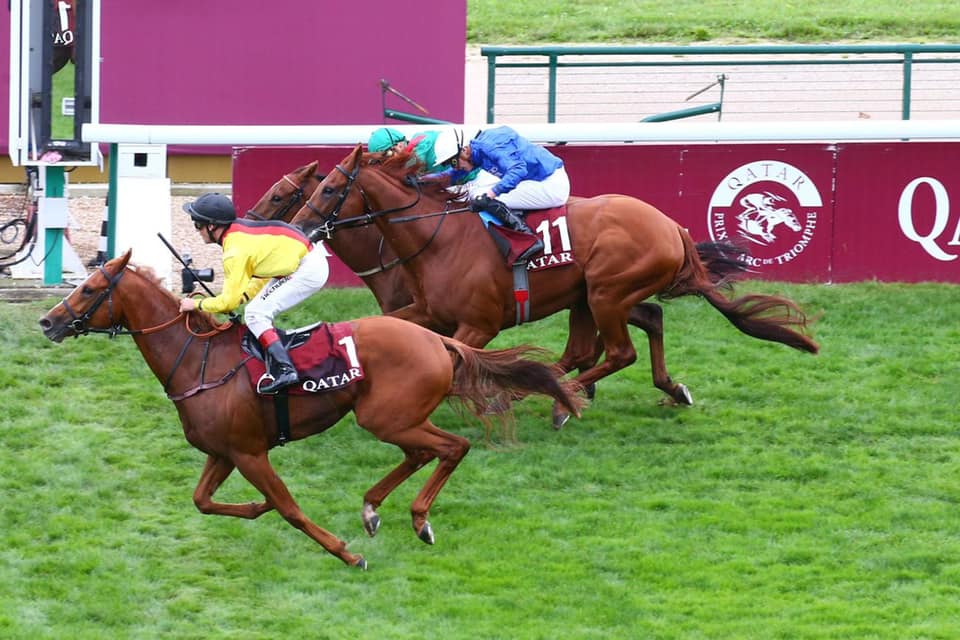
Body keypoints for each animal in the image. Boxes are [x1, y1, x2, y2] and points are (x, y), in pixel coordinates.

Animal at [37, 250, 580, 568]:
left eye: (89, 289)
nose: (47, 321)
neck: (197, 360)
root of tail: (438, 340)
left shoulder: (250, 453)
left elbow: (290, 508)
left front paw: (345, 554)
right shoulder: (225, 452)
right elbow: (202, 500)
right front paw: (253, 507)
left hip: (386, 417)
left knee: (453, 446)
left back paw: (418, 520)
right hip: (394, 418)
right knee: (422, 454)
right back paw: (373, 509)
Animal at [290, 144, 816, 424]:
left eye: (331, 189)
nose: (301, 226)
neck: (438, 237)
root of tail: (673, 227)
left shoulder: (478, 324)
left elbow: (465, 363)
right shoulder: (426, 311)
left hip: (605, 292)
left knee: (617, 351)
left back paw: (561, 400)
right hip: (595, 296)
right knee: (636, 325)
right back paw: (661, 388)